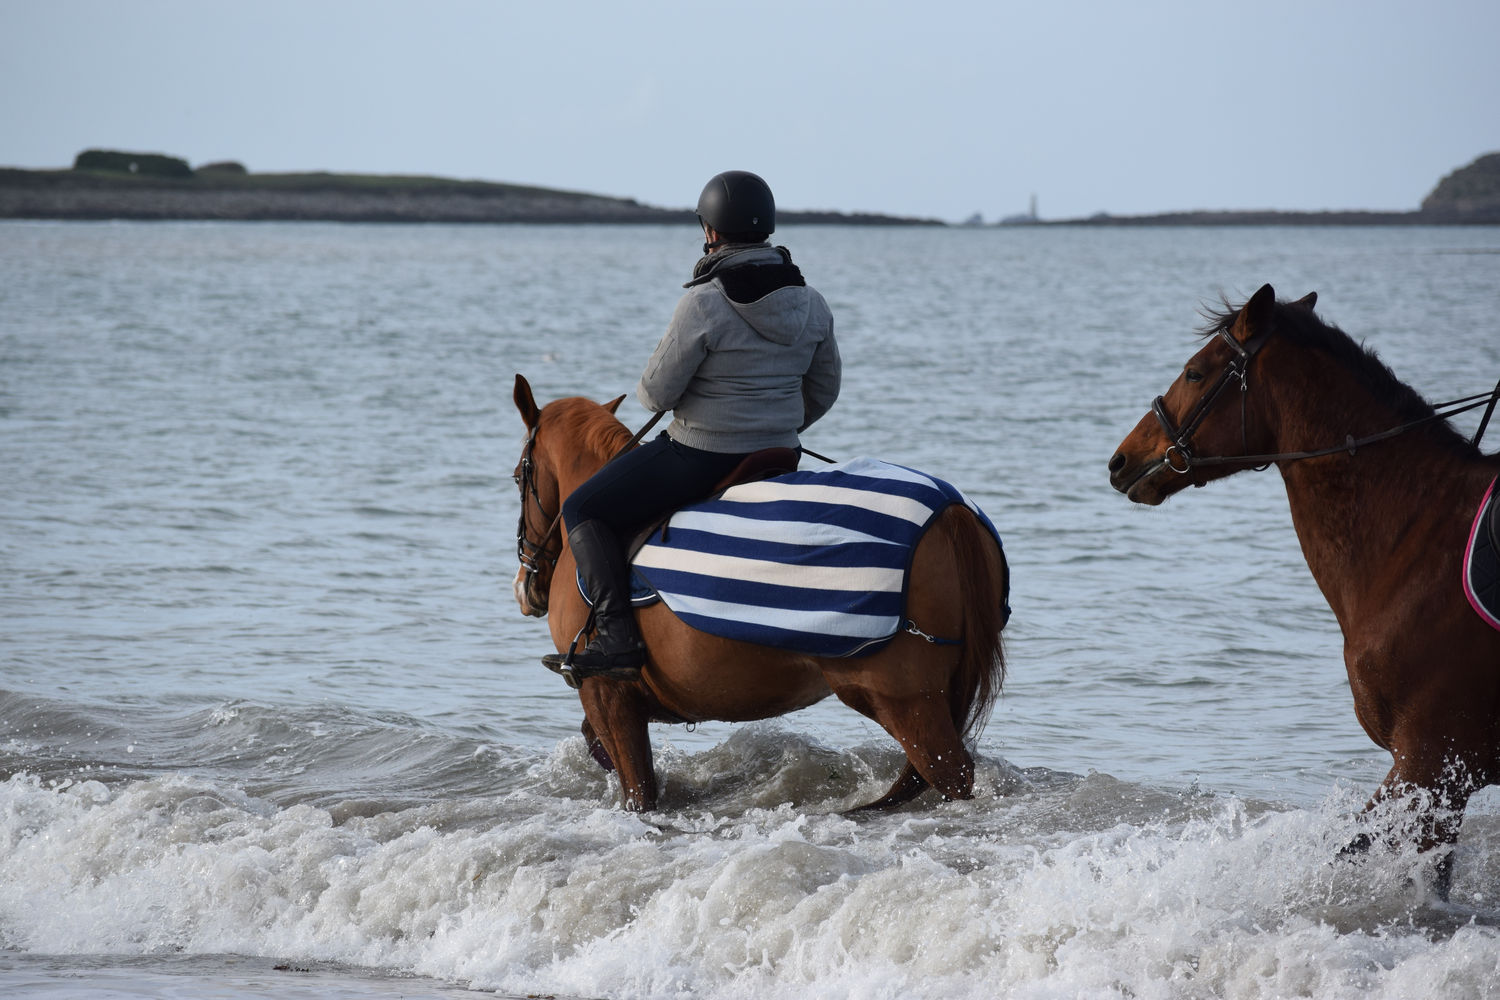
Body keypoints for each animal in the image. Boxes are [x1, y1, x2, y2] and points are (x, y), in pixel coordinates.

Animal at [510, 374, 1014, 815]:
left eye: (518, 477)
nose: (524, 586)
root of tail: (948, 510)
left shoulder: (605, 693)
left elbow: (638, 788)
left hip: (906, 700)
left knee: (951, 776)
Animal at [1110, 283, 1500, 893]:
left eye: (1195, 372)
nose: (1121, 461)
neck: (1417, 535)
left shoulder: (1432, 763)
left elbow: (1351, 853)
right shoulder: (1438, 777)